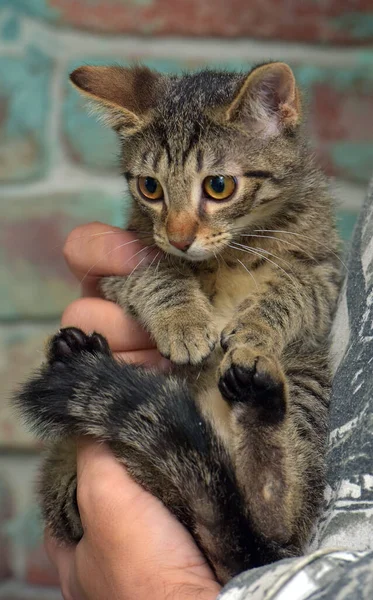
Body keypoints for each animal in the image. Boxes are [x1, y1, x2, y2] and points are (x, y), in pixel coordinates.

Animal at [15, 63, 340, 584]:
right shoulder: (121, 263)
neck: (230, 255)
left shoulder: (325, 271)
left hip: (307, 376)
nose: (180, 237)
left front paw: (253, 328)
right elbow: (155, 275)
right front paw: (184, 321)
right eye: (150, 188)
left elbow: (292, 294)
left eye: (219, 186)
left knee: (277, 517)